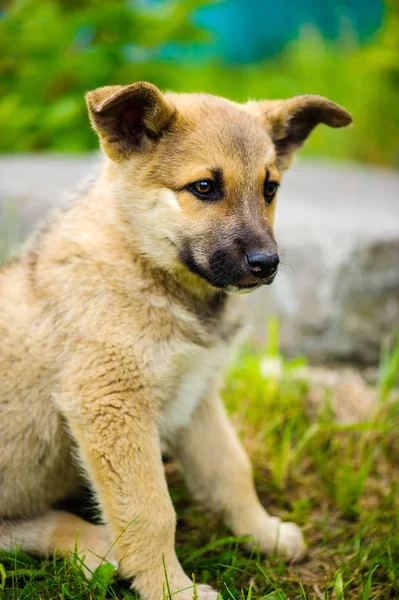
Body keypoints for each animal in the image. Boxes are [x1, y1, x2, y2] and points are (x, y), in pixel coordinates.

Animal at [0, 83, 350, 600]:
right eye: (204, 188)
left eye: (270, 189)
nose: (267, 264)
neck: (147, 267)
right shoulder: (110, 402)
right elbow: (152, 511)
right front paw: (170, 588)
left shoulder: (197, 394)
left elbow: (231, 470)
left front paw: (261, 532)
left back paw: (98, 547)